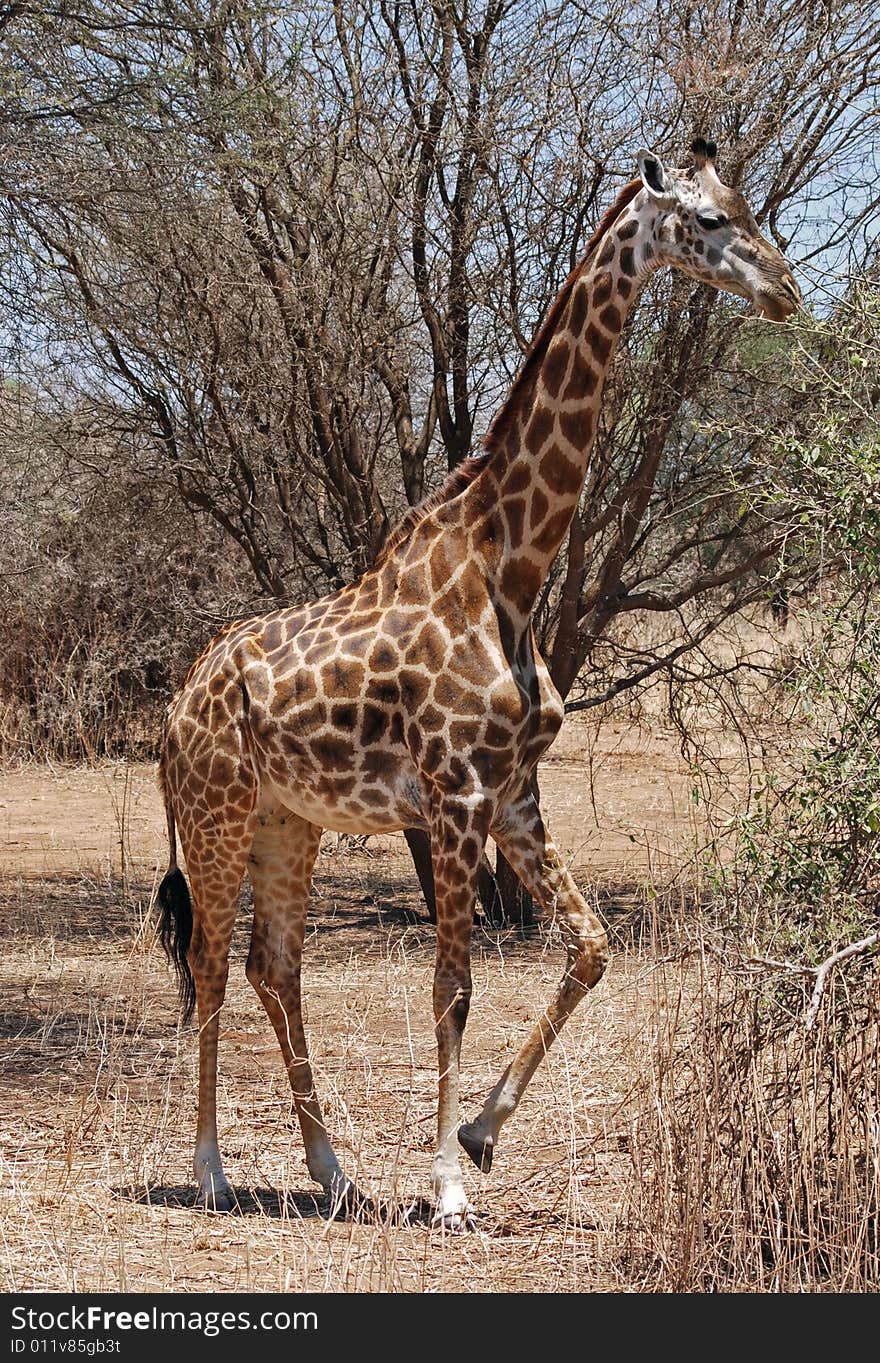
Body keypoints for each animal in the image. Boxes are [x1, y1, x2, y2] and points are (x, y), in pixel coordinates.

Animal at [156, 143, 800, 1232]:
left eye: (747, 206)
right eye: (712, 221)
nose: (787, 290)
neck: (511, 564)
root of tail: (172, 704)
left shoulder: (514, 793)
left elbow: (591, 947)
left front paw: (478, 1135)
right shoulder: (454, 795)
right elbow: (451, 984)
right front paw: (448, 1187)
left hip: (292, 820)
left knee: (272, 965)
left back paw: (334, 1173)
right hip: (217, 812)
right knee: (208, 966)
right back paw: (208, 1171)